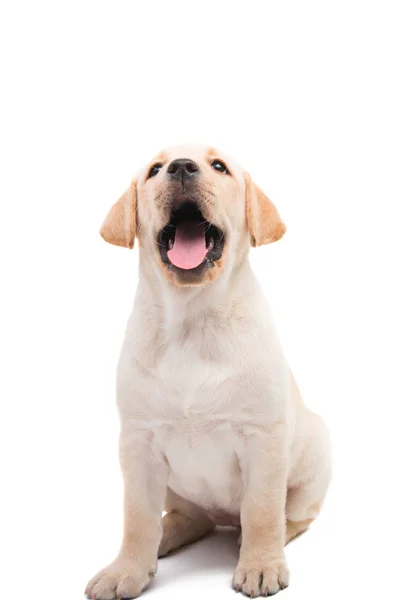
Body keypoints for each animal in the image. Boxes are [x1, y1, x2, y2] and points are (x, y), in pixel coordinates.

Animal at [86, 143, 332, 596]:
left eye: (219, 167)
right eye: (155, 170)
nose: (181, 167)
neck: (193, 320)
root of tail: (222, 516)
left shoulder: (263, 440)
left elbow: (262, 510)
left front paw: (260, 564)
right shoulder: (137, 443)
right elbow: (136, 518)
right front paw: (126, 570)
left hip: (316, 460)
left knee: (292, 515)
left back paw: (263, 538)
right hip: (178, 493)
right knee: (189, 518)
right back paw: (166, 537)